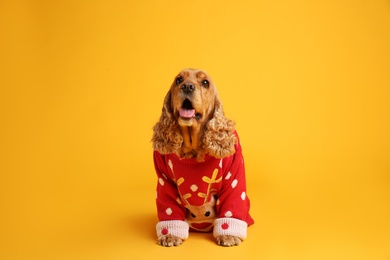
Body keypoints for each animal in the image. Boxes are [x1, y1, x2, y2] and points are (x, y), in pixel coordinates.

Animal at [151, 68, 254, 247]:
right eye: (178, 80)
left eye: (205, 82)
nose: (187, 86)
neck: (193, 148)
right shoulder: (164, 180)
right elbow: (169, 209)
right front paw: (170, 235)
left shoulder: (234, 176)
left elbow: (231, 206)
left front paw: (228, 235)